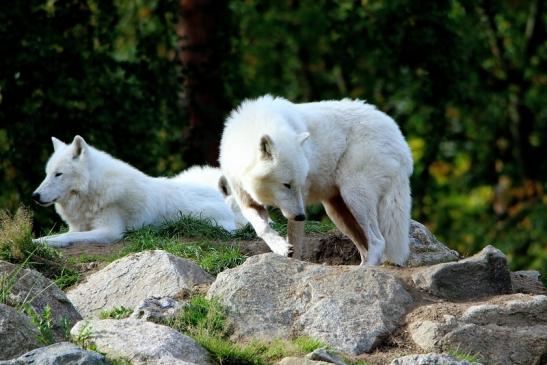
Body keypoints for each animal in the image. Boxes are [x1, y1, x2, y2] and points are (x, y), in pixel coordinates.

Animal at [32, 135, 238, 246]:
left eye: (58, 174)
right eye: (47, 173)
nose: (35, 196)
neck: (93, 189)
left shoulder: (110, 232)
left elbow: (67, 237)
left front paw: (40, 243)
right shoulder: (78, 226)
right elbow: (58, 234)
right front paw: (37, 241)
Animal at [220, 94, 414, 264]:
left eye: (298, 185)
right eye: (286, 185)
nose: (301, 216)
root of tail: (402, 144)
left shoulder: (301, 200)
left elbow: (295, 239)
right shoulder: (247, 201)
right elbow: (262, 228)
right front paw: (281, 248)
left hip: (354, 196)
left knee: (378, 241)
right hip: (337, 211)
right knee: (365, 248)